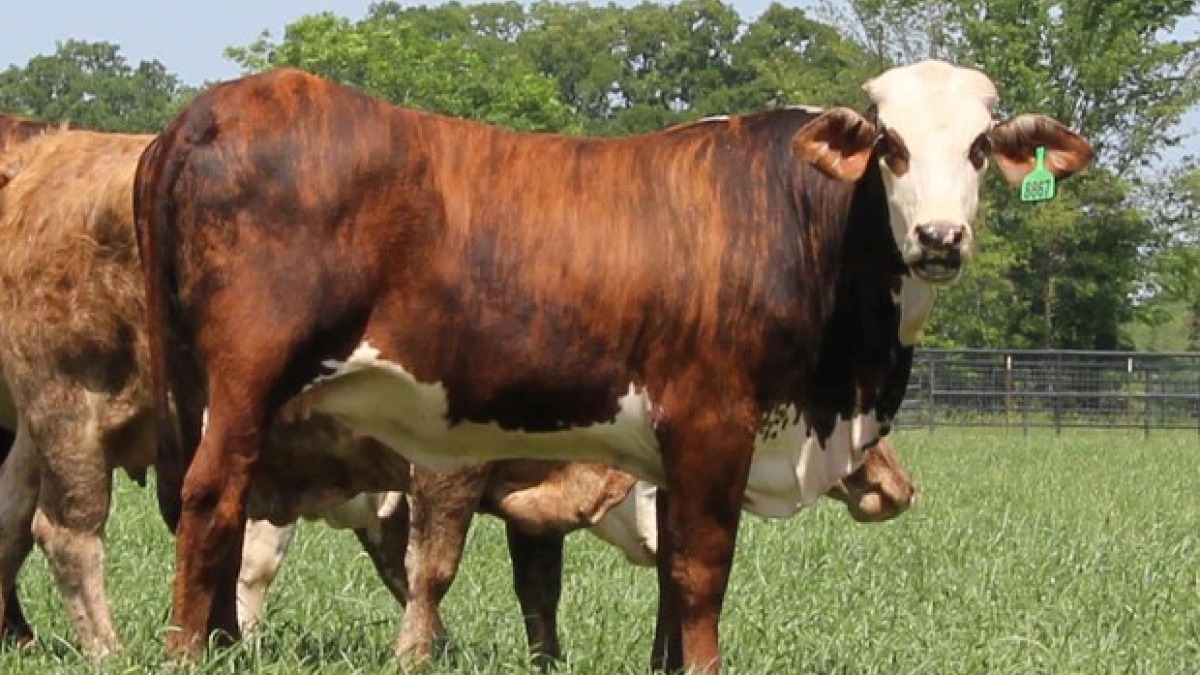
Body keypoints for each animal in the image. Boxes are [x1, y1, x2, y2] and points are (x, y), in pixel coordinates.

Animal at [136, 60, 1089, 672]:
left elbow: (670, 581)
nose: (939, 236)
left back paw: (221, 643)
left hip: (199, 385)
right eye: (890, 145)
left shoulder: (671, 450)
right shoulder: (713, 423)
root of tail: (206, 114)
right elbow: (702, 572)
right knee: (213, 496)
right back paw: (189, 650)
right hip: (247, 377)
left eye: (978, 148)